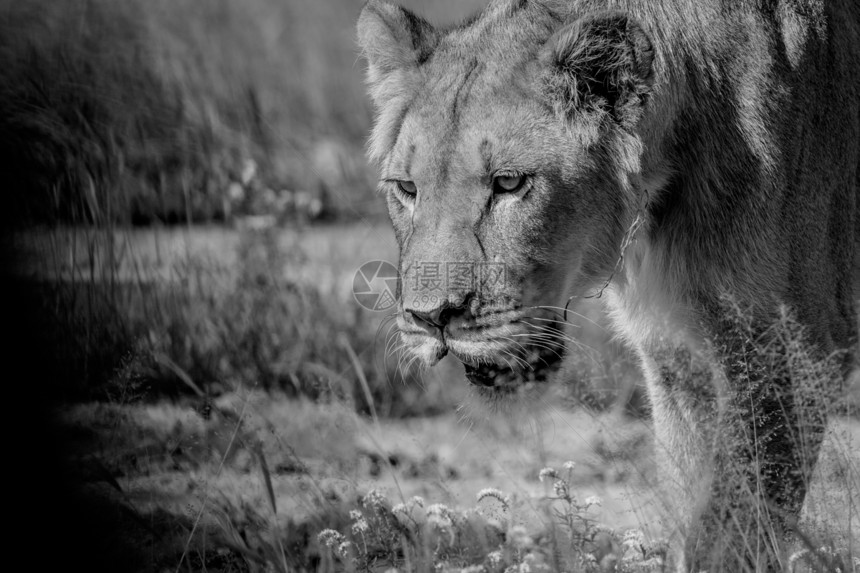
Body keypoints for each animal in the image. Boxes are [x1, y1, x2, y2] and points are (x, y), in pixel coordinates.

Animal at [358, 0, 860, 568]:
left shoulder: (791, 350)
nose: (430, 318)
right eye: (407, 188)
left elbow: (732, 527)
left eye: (508, 183)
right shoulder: (677, 356)